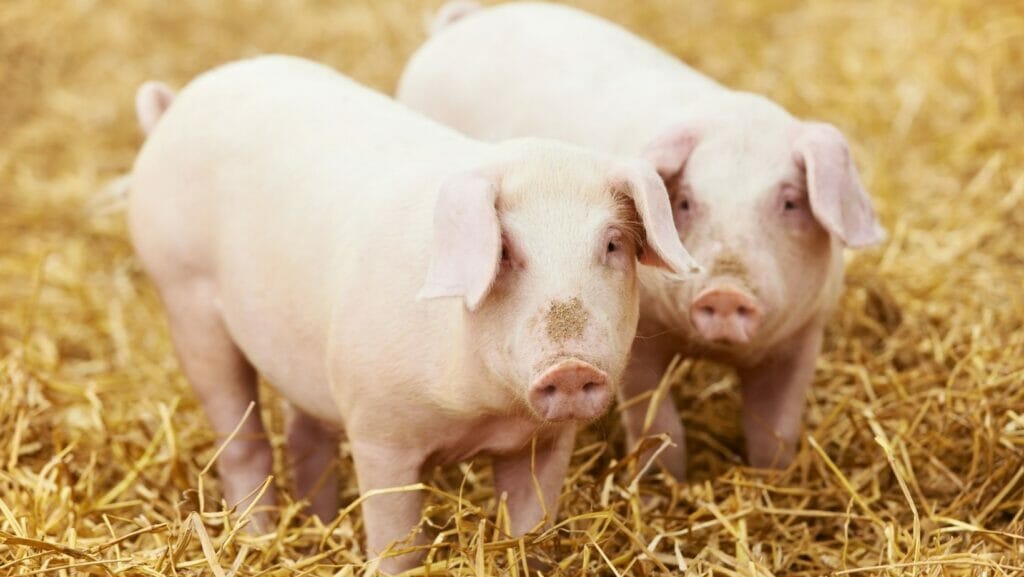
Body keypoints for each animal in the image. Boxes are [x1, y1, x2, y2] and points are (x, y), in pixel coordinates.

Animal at [129, 55, 698, 572]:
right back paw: (257, 536)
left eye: (612, 244)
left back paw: (317, 528)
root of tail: (176, 105)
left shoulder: (545, 441)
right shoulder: (378, 430)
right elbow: (396, 543)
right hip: (185, 298)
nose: (572, 368)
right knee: (242, 443)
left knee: (304, 435)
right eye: (506, 250)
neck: (483, 412)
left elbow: (529, 528)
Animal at [398, 2, 885, 479]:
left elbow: (774, 432)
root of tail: (469, 19)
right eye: (685, 201)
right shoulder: (639, 337)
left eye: (790, 202)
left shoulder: (803, 337)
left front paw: (771, 481)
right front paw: (660, 484)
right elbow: (657, 422)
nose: (725, 291)